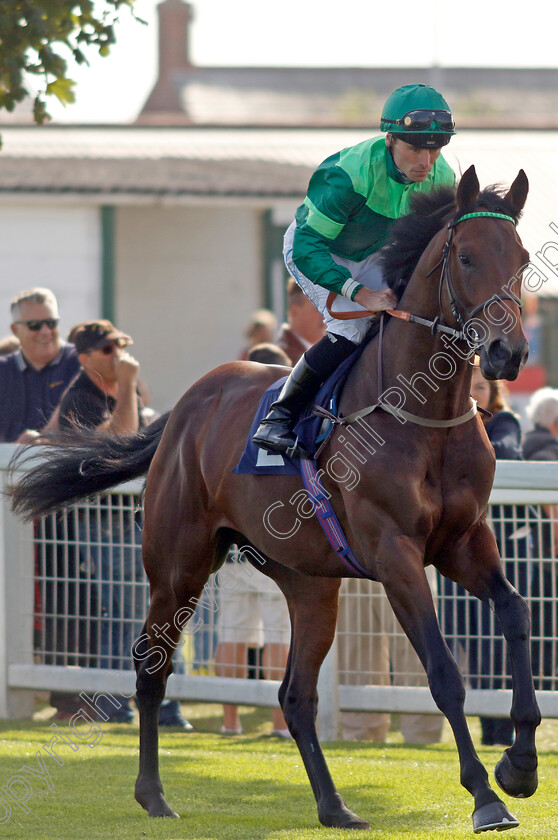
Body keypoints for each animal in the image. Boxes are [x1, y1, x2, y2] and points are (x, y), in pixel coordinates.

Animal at [9, 166, 544, 832]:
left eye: (522, 259)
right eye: (466, 257)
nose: (508, 353)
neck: (422, 412)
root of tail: (185, 406)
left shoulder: (464, 542)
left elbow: (516, 613)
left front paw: (520, 765)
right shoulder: (395, 554)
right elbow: (444, 671)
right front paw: (485, 795)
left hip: (310, 582)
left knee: (295, 694)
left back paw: (335, 805)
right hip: (178, 565)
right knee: (150, 669)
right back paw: (153, 794)